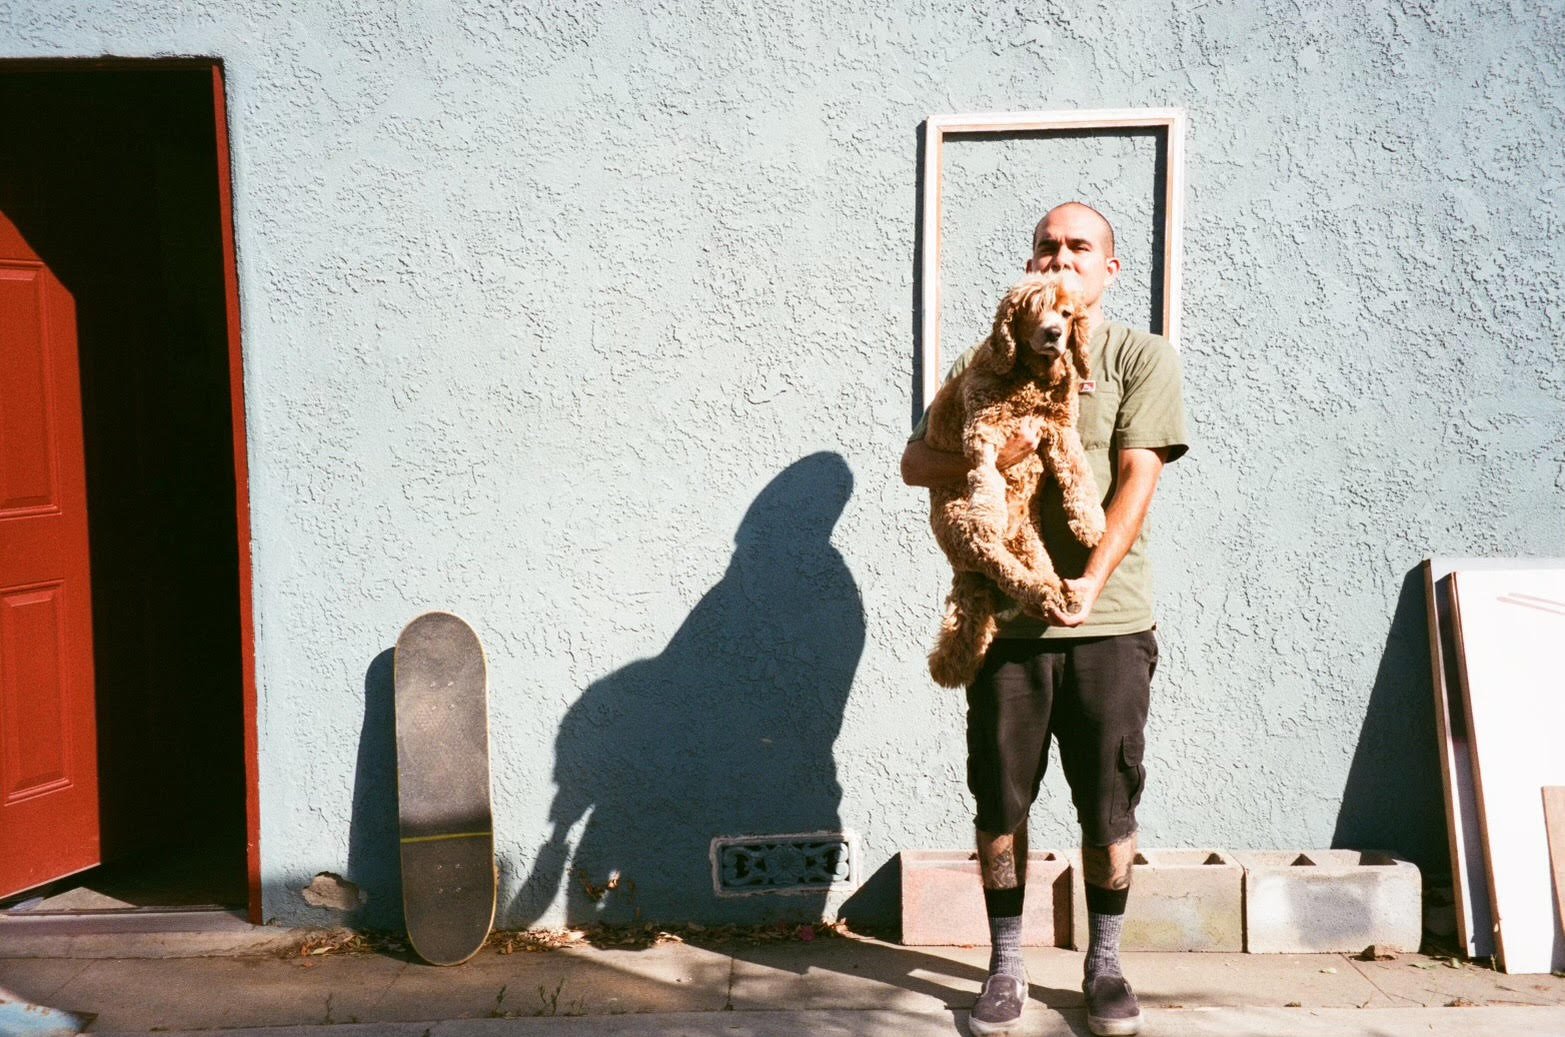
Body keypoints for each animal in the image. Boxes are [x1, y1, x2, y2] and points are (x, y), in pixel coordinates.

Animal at [920, 273, 1108, 688]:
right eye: (1033, 310)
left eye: (1066, 313)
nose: (1054, 333)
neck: (1032, 379)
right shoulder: (984, 425)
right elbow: (987, 475)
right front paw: (989, 511)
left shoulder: (1060, 427)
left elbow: (1078, 471)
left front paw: (1089, 522)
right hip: (960, 528)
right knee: (1001, 564)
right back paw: (1040, 591)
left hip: (1026, 535)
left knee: (1031, 566)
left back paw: (1056, 591)